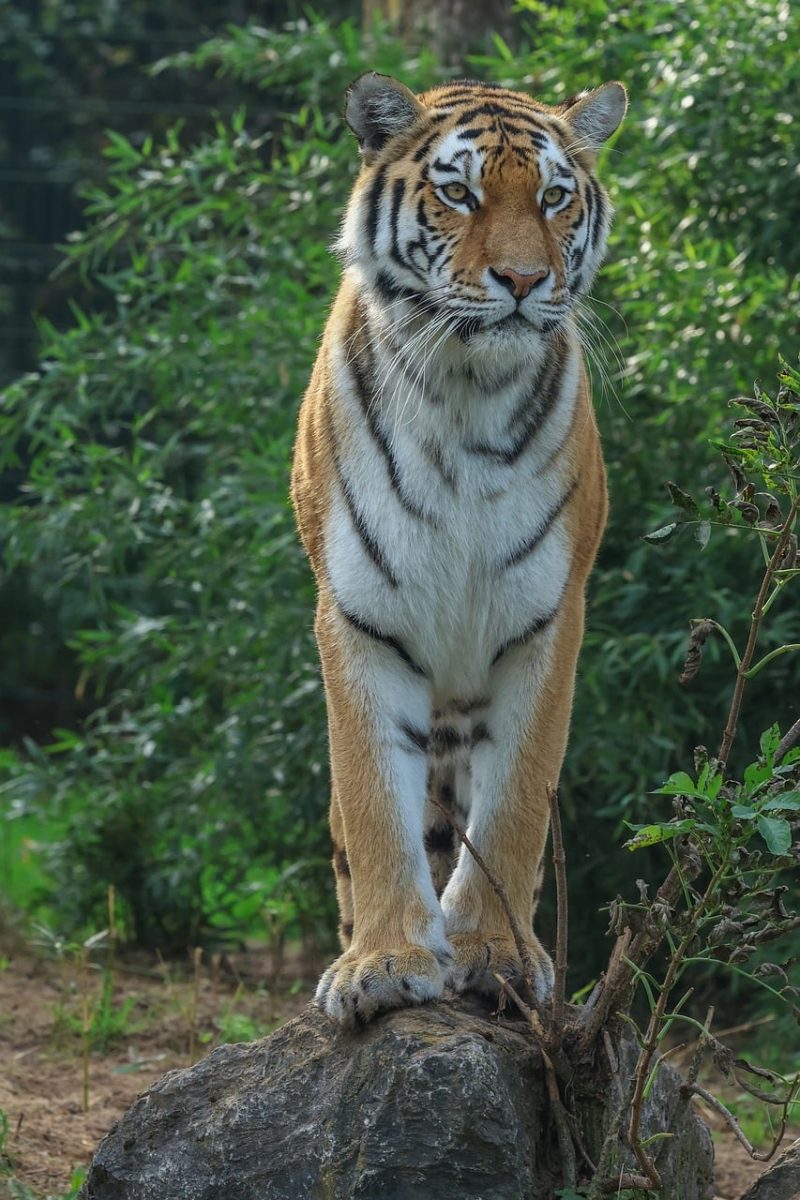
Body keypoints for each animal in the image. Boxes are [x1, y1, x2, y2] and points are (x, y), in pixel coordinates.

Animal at [291, 71, 626, 1026]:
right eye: (460, 194)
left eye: (553, 197)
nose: (523, 278)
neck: (464, 395)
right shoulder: (358, 616)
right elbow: (373, 798)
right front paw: (384, 963)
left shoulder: (549, 617)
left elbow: (516, 802)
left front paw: (495, 954)